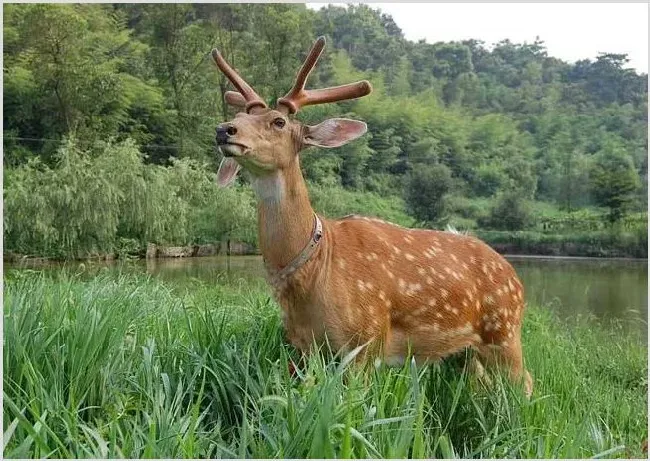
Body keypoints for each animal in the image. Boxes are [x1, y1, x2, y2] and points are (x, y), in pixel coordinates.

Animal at [213, 36, 532, 396]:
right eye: (239, 114)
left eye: (278, 122)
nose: (224, 129)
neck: (316, 265)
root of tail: (515, 276)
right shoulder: (305, 347)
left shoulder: (366, 339)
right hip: (464, 352)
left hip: (504, 330)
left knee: (525, 383)